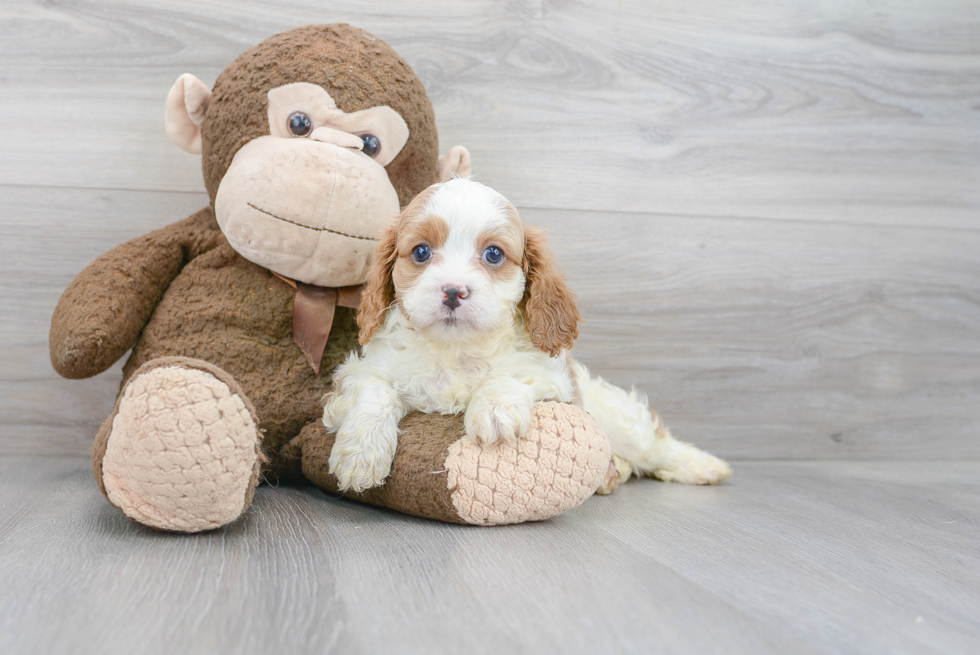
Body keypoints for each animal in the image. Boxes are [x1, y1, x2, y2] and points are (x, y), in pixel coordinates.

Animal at [326, 178, 732, 492]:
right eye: (421, 251)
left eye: (493, 254)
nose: (454, 291)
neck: (457, 350)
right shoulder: (361, 370)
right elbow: (376, 391)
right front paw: (361, 452)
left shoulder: (555, 378)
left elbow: (511, 374)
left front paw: (494, 410)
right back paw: (613, 473)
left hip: (620, 421)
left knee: (655, 445)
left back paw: (703, 466)